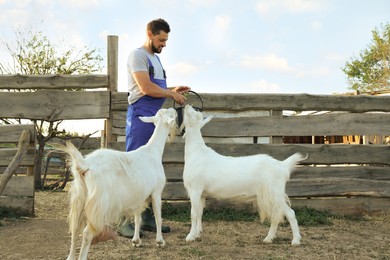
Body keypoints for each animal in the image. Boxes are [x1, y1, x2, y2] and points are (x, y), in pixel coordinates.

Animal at [57, 107, 177, 260]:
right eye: (171, 114)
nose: (175, 109)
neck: (153, 152)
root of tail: (85, 164)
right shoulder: (156, 192)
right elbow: (158, 217)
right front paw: (160, 241)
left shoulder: (139, 196)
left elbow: (137, 218)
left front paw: (136, 240)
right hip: (99, 204)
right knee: (86, 232)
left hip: (79, 197)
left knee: (74, 229)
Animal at [182, 104, 308, 246]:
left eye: (195, 114)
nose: (187, 105)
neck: (197, 152)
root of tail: (282, 165)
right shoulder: (202, 193)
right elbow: (199, 213)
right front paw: (197, 234)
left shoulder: (195, 189)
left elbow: (193, 213)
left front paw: (190, 236)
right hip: (270, 195)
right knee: (276, 215)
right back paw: (268, 238)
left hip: (274, 193)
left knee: (290, 213)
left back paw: (295, 240)